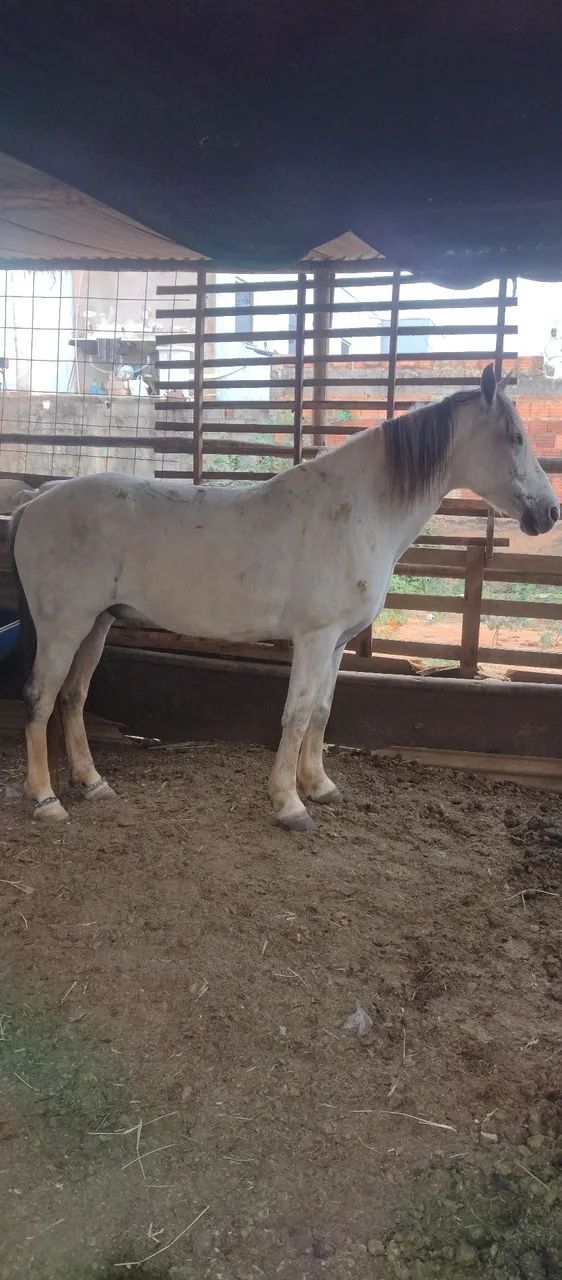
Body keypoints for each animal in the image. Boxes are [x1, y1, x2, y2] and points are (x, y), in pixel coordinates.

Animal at [9, 364, 559, 828]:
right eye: (515, 436)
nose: (549, 512)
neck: (357, 511)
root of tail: (37, 500)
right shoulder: (314, 639)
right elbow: (295, 715)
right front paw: (289, 804)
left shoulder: (336, 643)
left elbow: (321, 711)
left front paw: (319, 786)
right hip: (64, 627)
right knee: (40, 698)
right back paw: (45, 799)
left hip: (97, 623)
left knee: (73, 697)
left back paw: (93, 783)